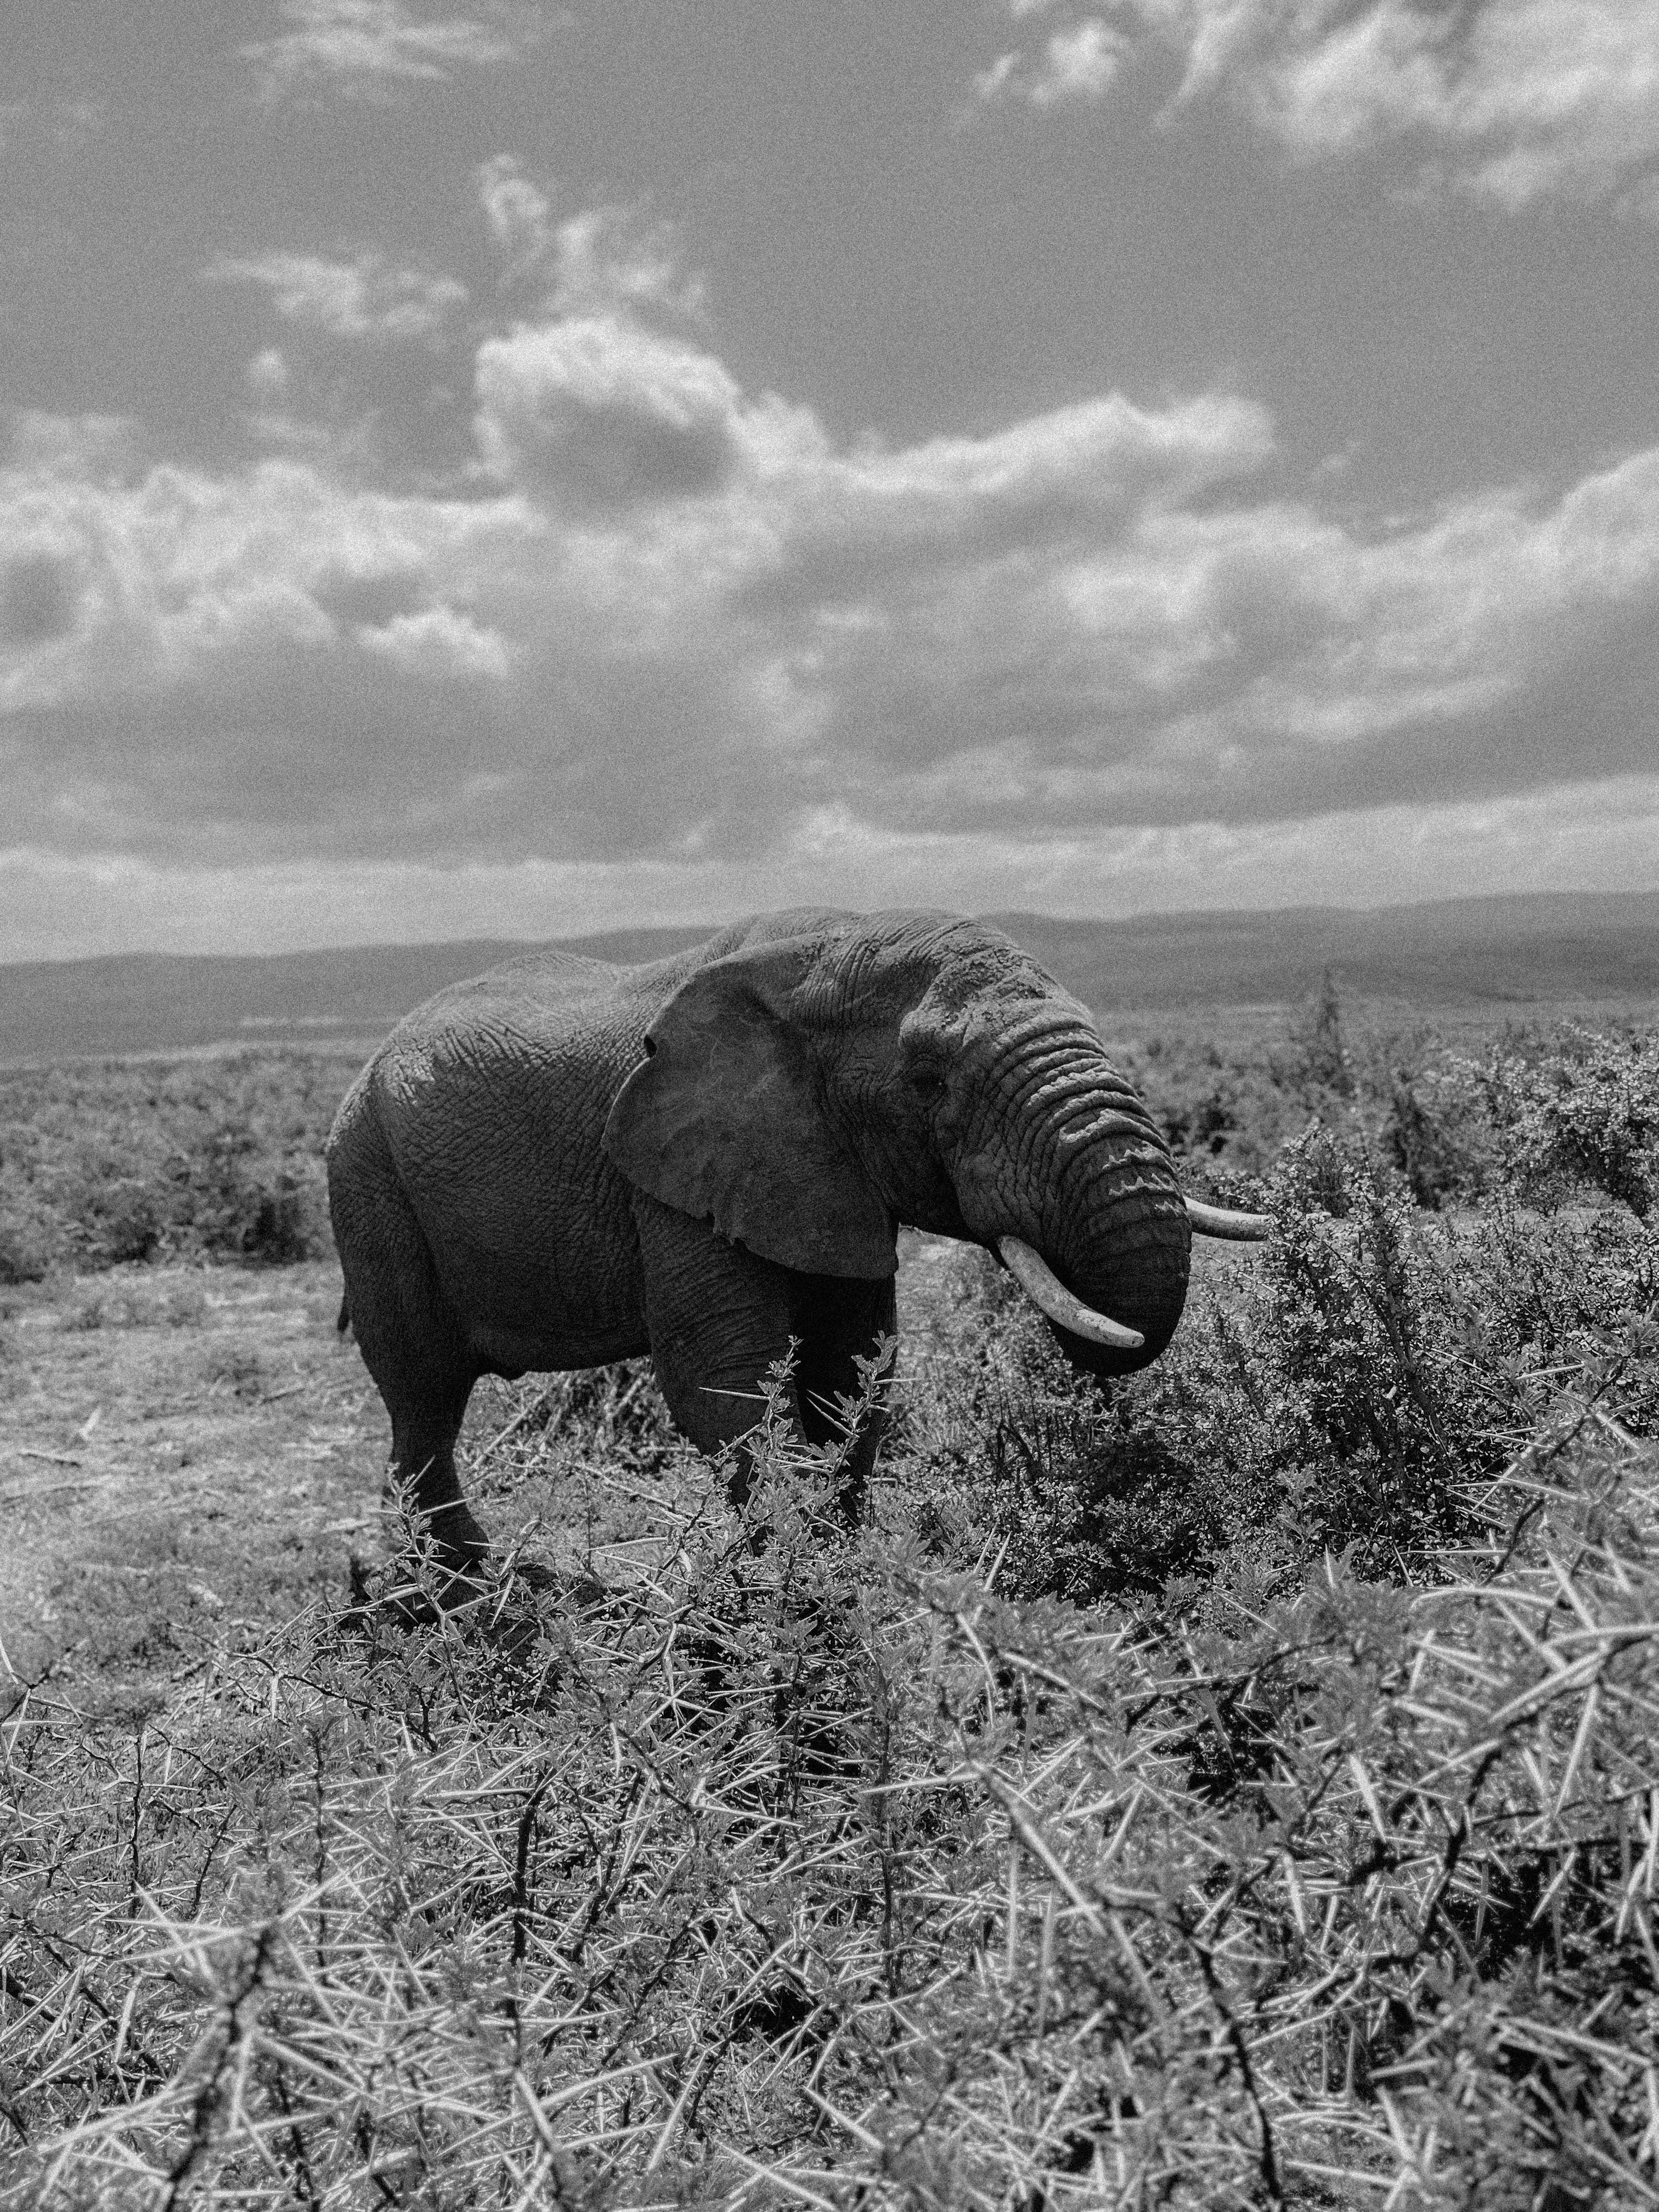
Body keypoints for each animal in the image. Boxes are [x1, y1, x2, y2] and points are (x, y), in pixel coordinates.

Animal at [325, 907, 1266, 1589]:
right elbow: (724, 1373)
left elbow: (856, 1364)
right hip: (368, 1181)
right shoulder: (675, 1170)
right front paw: (792, 1581)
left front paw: (839, 1560)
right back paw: (457, 1584)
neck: (827, 951)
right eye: (930, 1084)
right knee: (423, 1390)